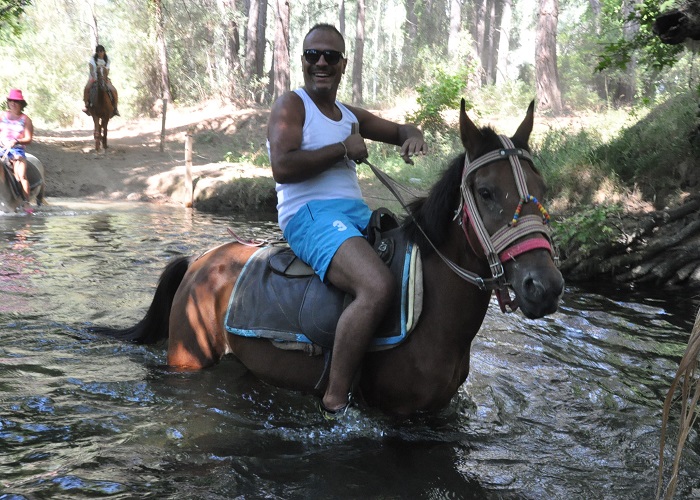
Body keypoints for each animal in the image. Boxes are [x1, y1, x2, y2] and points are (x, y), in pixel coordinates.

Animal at [91, 100, 564, 414]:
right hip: (188, 358)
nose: (544, 286)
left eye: (543, 188)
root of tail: (198, 261)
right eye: (485, 192)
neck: (435, 310)